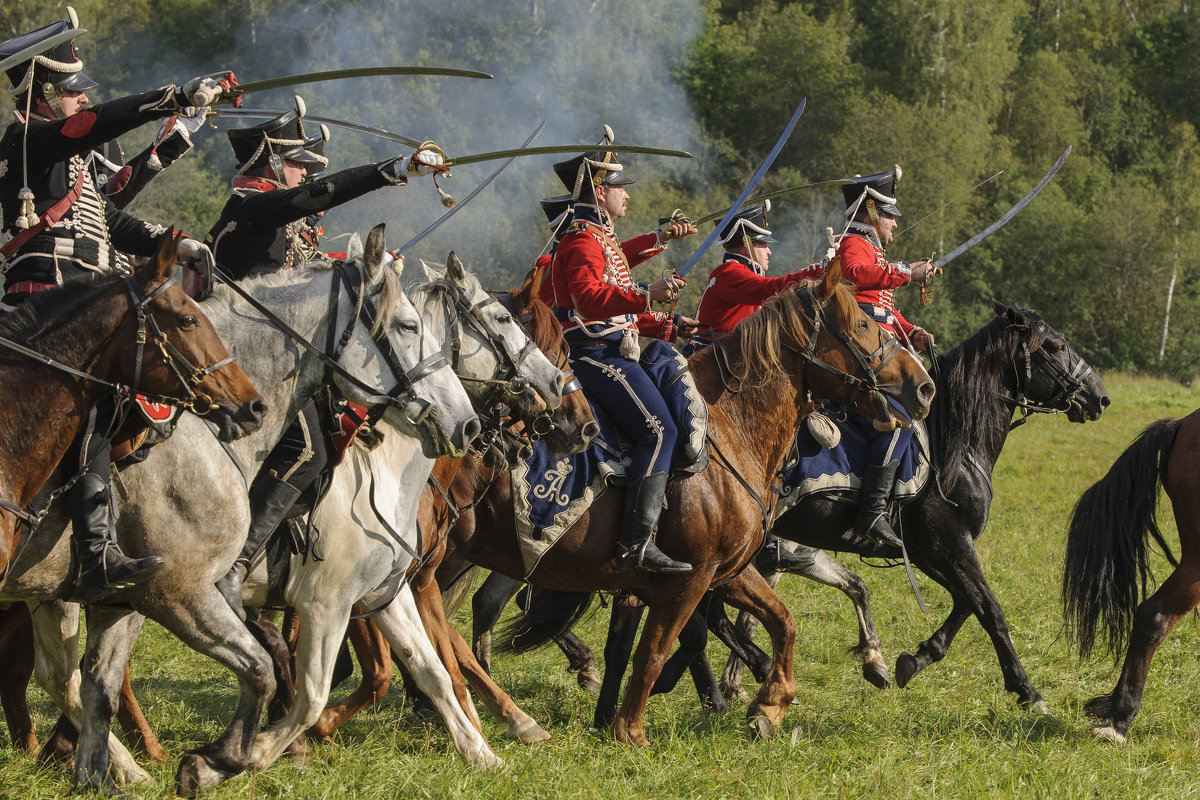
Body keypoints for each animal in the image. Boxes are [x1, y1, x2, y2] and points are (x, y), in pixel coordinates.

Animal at [4, 227, 482, 796]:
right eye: (407, 326)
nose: (467, 424)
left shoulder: (382, 594)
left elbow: (432, 673)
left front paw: (485, 753)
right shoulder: (200, 595)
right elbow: (295, 687)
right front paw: (233, 758)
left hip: (49, 594)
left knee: (63, 678)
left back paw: (124, 765)